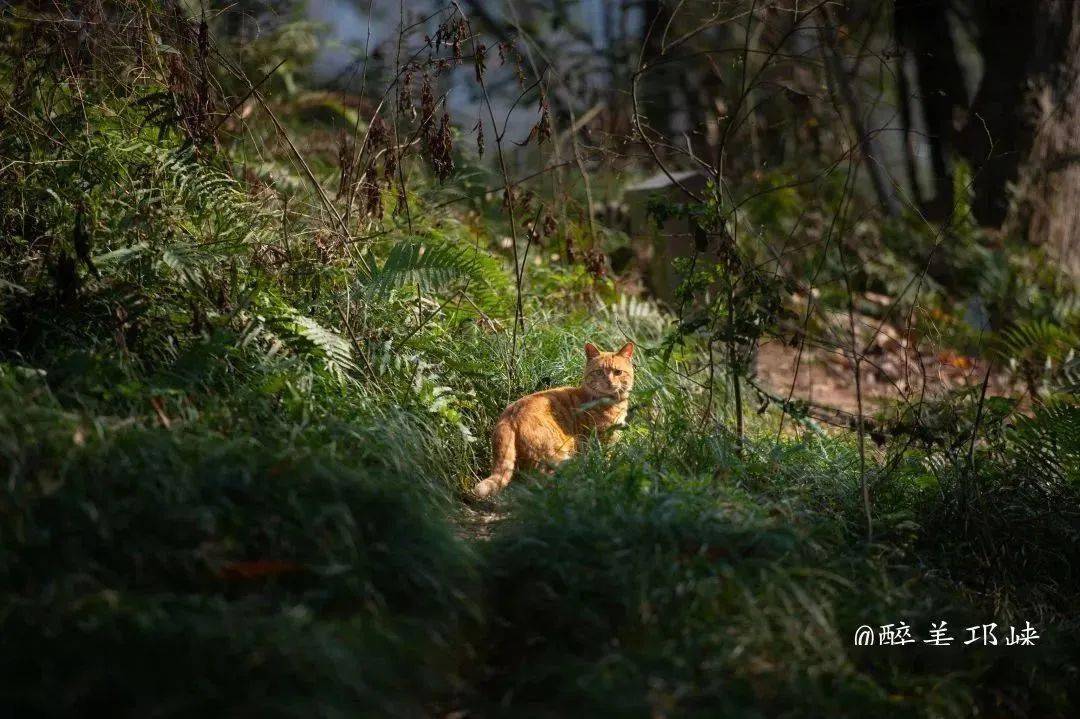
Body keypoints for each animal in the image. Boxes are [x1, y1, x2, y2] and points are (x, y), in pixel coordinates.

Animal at [473, 338, 630, 496]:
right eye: (599, 372)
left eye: (618, 372)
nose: (609, 382)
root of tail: (510, 415)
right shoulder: (601, 441)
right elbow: (605, 461)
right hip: (556, 455)